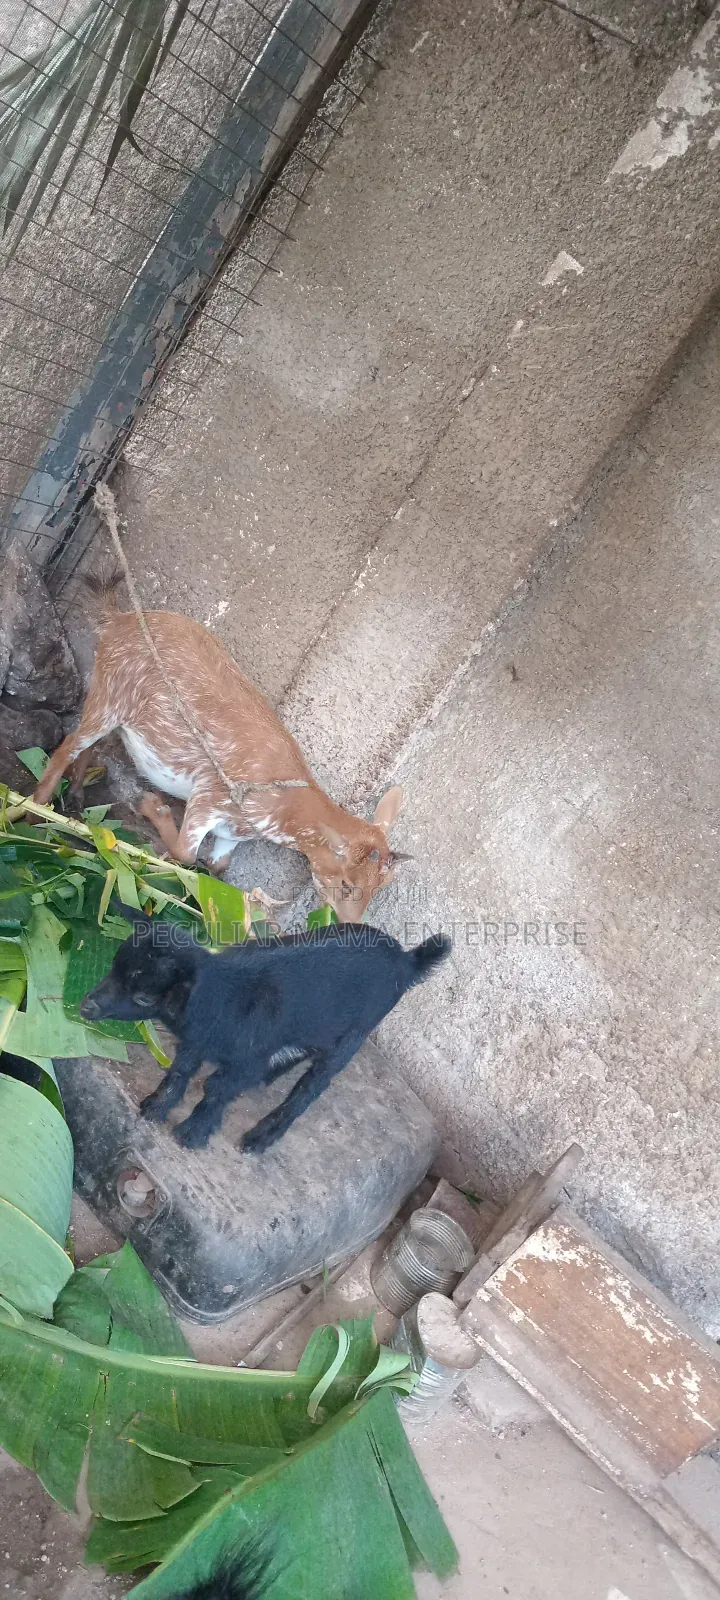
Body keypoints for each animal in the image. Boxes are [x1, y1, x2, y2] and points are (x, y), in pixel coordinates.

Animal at [32, 583, 409, 921]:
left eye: (378, 889)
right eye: (346, 884)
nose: (351, 923)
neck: (281, 804)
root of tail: (117, 619)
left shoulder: (231, 832)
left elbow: (219, 864)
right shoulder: (208, 795)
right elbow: (185, 851)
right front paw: (151, 805)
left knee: (88, 744)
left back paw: (77, 795)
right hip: (109, 692)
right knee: (68, 744)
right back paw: (35, 810)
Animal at [80, 914, 451, 1152]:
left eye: (143, 997)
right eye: (113, 967)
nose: (86, 1007)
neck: (222, 1000)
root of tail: (407, 960)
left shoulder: (245, 1061)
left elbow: (216, 1088)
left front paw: (194, 1132)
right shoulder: (196, 1041)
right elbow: (180, 1071)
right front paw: (156, 1106)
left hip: (354, 1034)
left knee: (309, 1089)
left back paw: (261, 1137)